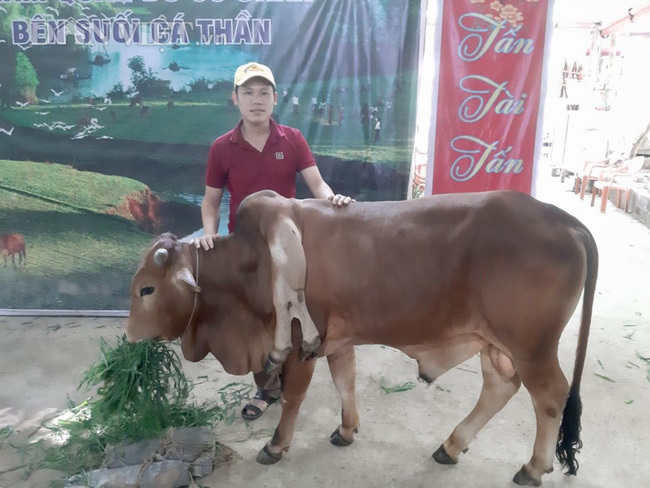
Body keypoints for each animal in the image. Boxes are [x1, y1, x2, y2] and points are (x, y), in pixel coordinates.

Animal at [124, 189, 596, 486]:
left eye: (146, 289)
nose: (128, 337)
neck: (252, 262)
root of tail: (564, 219)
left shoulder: (301, 345)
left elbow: (294, 397)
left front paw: (276, 445)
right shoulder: (339, 340)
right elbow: (345, 381)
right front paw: (346, 429)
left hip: (532, 347)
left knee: (550, 397)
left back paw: (533, 468)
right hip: (498, 345)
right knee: (501, 387)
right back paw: (451, 446)